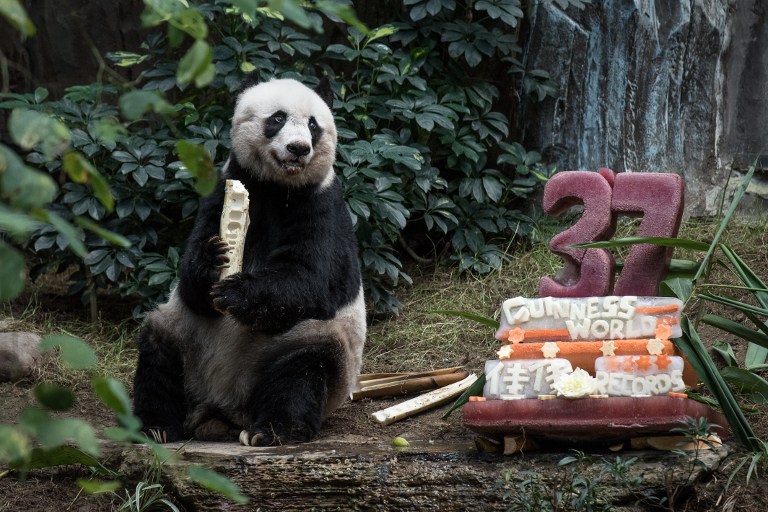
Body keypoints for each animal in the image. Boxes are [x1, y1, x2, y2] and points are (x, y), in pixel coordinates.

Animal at [132, 71, 366, 446]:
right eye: (277, 119)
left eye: (313, 125)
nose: (299, 148)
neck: (276, 188)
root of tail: (223, 408)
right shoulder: (223, 189)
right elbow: (191, 286)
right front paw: (213, 261)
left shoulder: (321, 204)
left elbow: (310, 278)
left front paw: (236, 293)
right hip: (184, 336)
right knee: (158, 353)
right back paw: (156, 425)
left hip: (301, 345)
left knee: (304, 369)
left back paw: (273, 430)